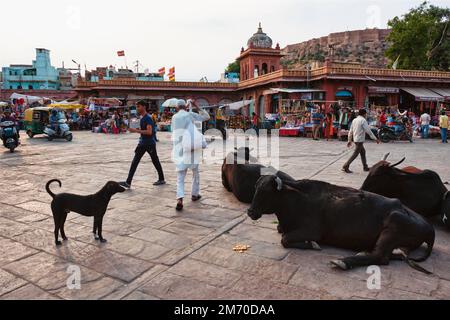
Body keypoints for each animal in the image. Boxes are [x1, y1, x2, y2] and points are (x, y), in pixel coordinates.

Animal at [248, 175, 434, 272]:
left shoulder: (312, 230)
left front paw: (312, 244)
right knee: (395, 255)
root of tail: (429, 228)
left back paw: (342, 261)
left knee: (381, 257)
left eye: (266, 191)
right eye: (255, 188)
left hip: (393, 227)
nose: (250, 211)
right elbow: (282, 233)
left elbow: (285, 239)